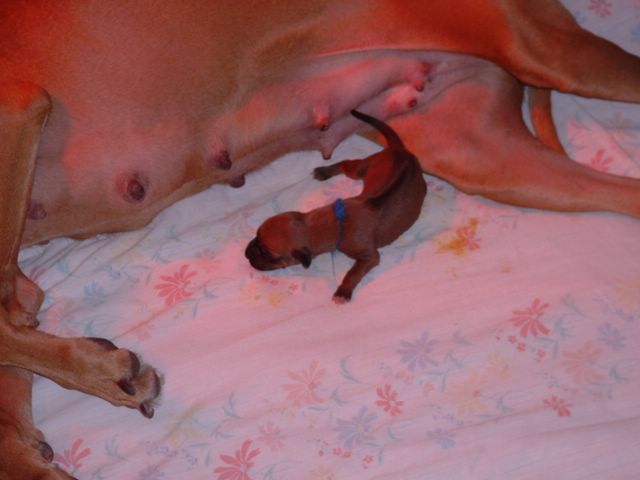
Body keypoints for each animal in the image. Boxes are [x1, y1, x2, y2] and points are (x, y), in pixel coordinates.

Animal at [245, 110, 427, 303]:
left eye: (268, 255)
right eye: (256, 235)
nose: (247, 252)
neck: (331, 223)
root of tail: (400, 149)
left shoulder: (369, 257)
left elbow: (353, 272)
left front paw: (343, 291)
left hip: (361, 170)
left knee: (345, 163)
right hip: (362, 168)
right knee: (345, 163)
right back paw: (324, 171)